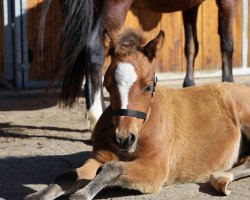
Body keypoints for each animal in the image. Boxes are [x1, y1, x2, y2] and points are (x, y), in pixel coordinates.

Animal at [24, 29, 250, 200]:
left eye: (149, 86)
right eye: (107, 85)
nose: (123, 139)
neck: (144, 123)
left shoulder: (156, 169)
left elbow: (111, 168)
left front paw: (82, 194)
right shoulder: (98, 157)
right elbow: (68, 175)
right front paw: (37, 196)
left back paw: (221, 179)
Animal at [40, 0, 237, 128]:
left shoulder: (190, 6)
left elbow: (191, 46)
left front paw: (189, 85)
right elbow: (227, 44)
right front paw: (229, 84)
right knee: (94, 46)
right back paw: (96, 115)